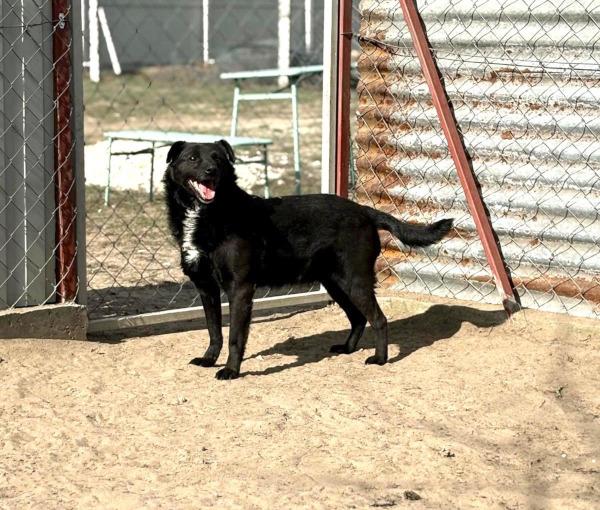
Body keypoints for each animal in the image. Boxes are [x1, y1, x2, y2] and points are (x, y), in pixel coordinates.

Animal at [163, 140, 453, 379]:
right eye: (192, 158)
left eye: (219, 159)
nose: (211, 171)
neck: (212, 214)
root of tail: (364, 211)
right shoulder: (206, 288)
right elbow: (214, 331)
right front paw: (209, 359)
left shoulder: (240, 289)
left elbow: (235, 336)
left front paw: (231, 371)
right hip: (336, 283)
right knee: (358, 318)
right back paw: (347, 348)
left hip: (355, 280)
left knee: (379, 319)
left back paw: (380, 359)